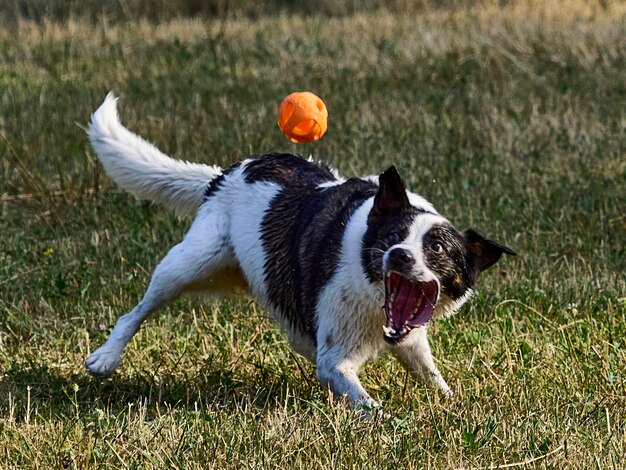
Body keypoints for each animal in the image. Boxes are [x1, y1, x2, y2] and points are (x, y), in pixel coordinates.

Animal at [85, 94, 516, 408]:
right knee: (136, 311)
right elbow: (368, 405)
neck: (374, 295)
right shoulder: (335, 361)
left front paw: (454, 405)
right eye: (394, 234)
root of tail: (225, 173)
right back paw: (105, 356)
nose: (398, 256)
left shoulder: (409, 341)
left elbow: (432, 377)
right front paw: (392, 424)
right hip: (190, 263)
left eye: (438, 247)